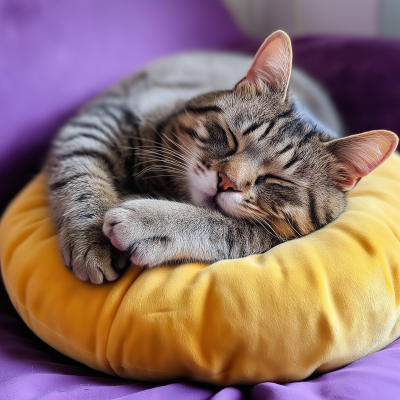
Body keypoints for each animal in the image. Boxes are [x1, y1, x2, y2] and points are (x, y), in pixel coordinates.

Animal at [46, 30, 396, 284]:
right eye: (231, 137)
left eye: (277, 179)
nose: (227, 182)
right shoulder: (101, 120)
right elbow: (80, 174)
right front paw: (92, 238)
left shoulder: (268, 237)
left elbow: (222, 228)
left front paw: (151, 221)